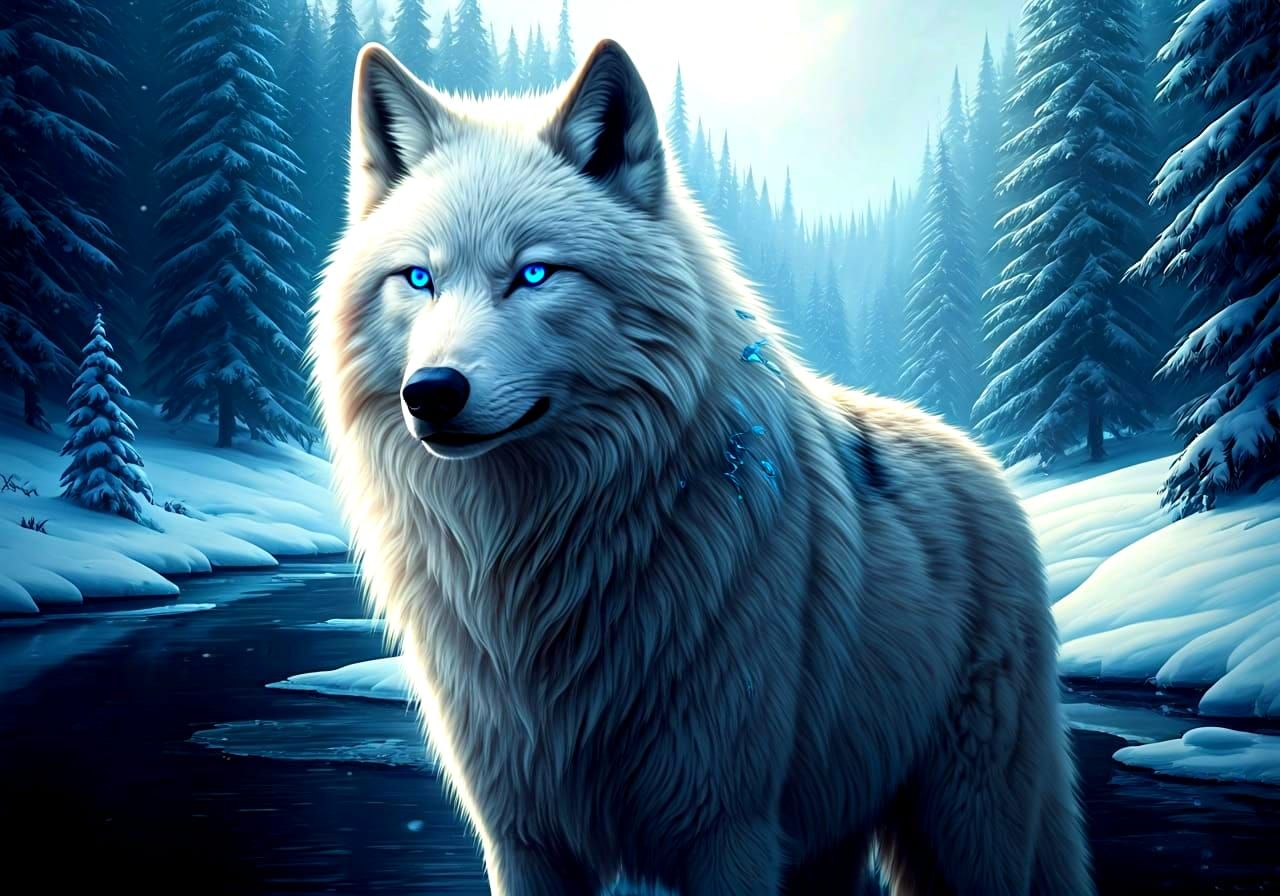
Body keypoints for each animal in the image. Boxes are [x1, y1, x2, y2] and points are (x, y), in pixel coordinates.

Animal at [311, 38, 1094, 896]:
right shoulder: (521, 839)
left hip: (966, 828)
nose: (432, 392)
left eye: (535, 274)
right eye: (419, 278)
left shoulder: (729, 827)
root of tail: (984, 460)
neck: (544, 562)